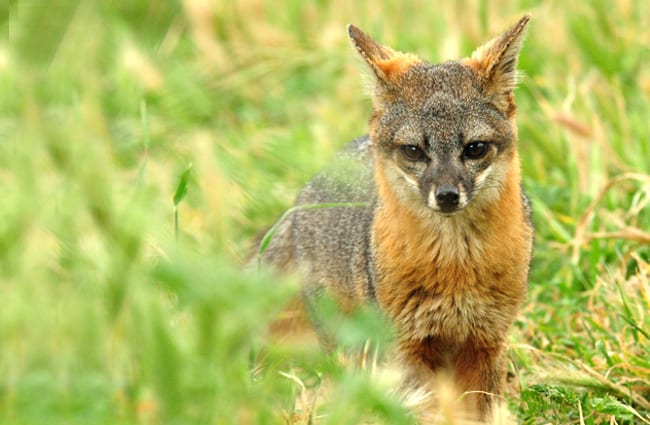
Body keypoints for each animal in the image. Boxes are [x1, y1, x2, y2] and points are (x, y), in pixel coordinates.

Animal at [258, 14, 532, 420]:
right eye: (414, 151)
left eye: (475, 149)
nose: (447, 195)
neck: (456, 267)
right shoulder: (409, 347)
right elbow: (427, 411)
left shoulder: (485, 341)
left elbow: (479, 412)